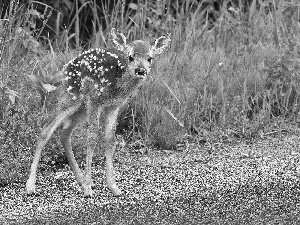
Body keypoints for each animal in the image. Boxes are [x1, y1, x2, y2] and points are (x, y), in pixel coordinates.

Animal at [25, 28, 171, 197]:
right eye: (130, 56)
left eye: (150, 58)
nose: (140, 70)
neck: (117, 84)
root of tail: (65, 68)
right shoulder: (96, 101)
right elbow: (92, 138)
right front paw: (88, 189)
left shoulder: (113, 107)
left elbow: (109, 140)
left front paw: (113, 187)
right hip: (72, 98)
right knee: (45, 130)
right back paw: (31, 186)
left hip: (82, 108)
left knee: (64, 133)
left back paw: (80, 180)